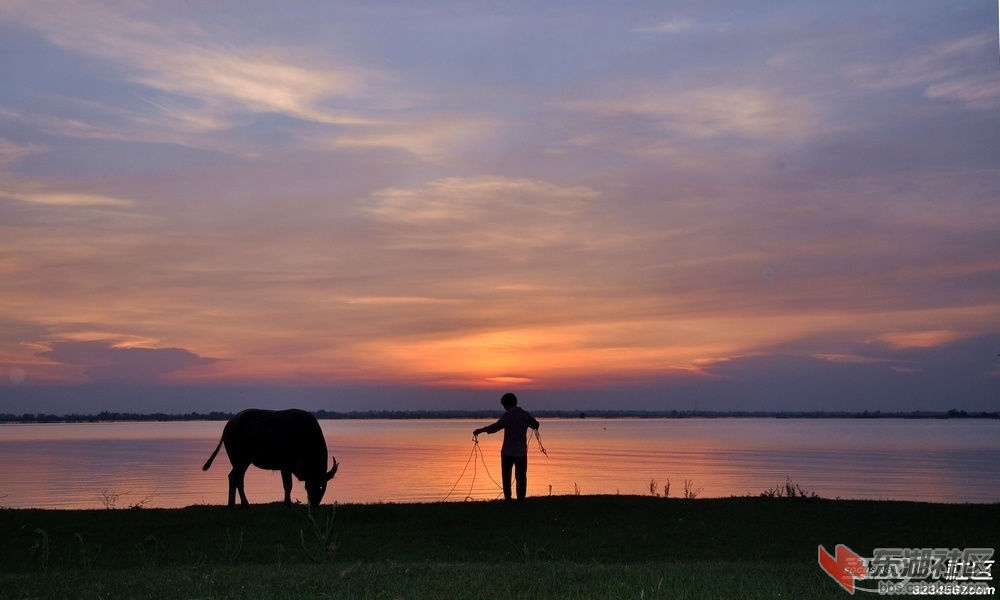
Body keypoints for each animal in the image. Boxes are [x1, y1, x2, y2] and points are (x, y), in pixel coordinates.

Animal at [203, 408, 340, 506]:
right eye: (308, 486)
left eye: (321, 486)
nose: (314, 502)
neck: (304, 436)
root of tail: (229, 425)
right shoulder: (285, 466)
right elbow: (288, 485)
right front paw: (287, 504)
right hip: (238, 460)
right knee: (234, 477)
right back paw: (238, 503)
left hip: (243, 462)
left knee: (237, 478)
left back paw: (240, 504)